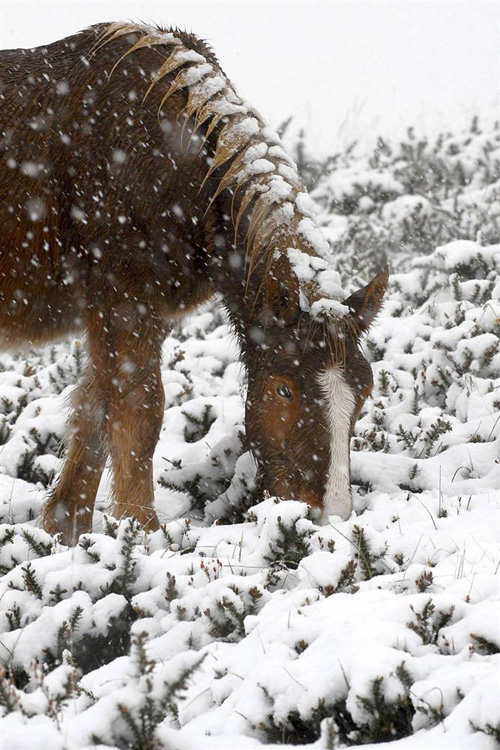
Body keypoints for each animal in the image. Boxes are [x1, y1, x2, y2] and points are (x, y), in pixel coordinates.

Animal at [0, 20, 388, 544]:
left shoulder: (132, 315)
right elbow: (140, 409)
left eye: (364, 391)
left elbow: (96, 412)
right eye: (284, 390)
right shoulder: (125, 301)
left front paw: (69, 535)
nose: (331, 518)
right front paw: (141, 532)